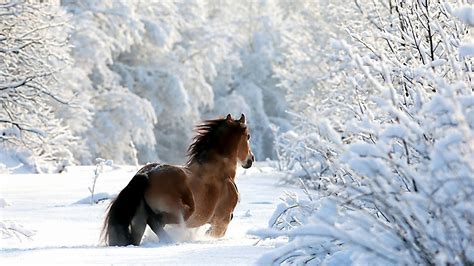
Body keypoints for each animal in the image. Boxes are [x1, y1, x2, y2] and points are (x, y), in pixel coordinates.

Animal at [101, 113, 254, 246]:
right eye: (248, 136)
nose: (251, 159)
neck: (221, 173)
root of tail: (147, 175)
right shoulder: (223, 219)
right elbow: (215, 233)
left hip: (139, 220)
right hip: (183, 212)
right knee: (156, 221)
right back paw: (170, 240)